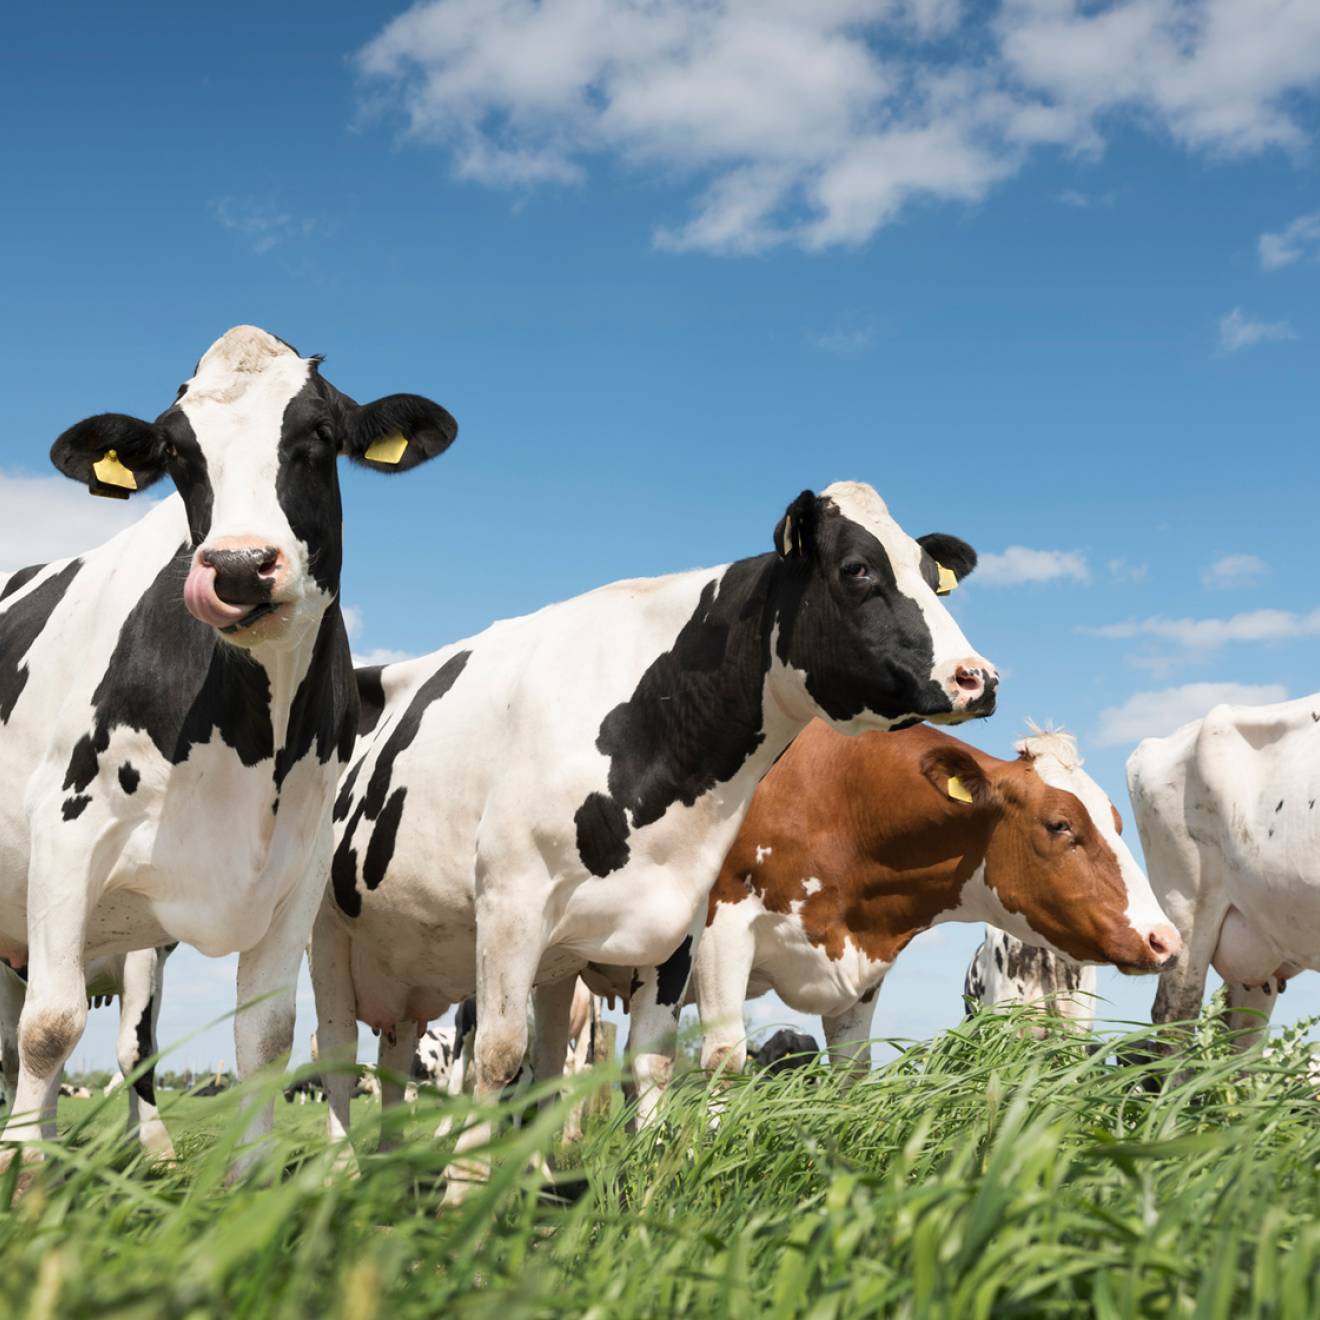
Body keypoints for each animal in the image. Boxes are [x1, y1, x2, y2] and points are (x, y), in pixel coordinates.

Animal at [312, 479, 998, 1202]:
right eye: (857, 569)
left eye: (931, 574)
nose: (978, 677)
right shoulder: (510, 901)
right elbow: (498, 1056)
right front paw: (463, 1197)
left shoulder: (677, 922)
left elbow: (649, 1062)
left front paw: (641, 1186)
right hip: (324, 927)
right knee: (338, 1052)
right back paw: (340, 1174)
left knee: (424, 1053)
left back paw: (403, 1173)